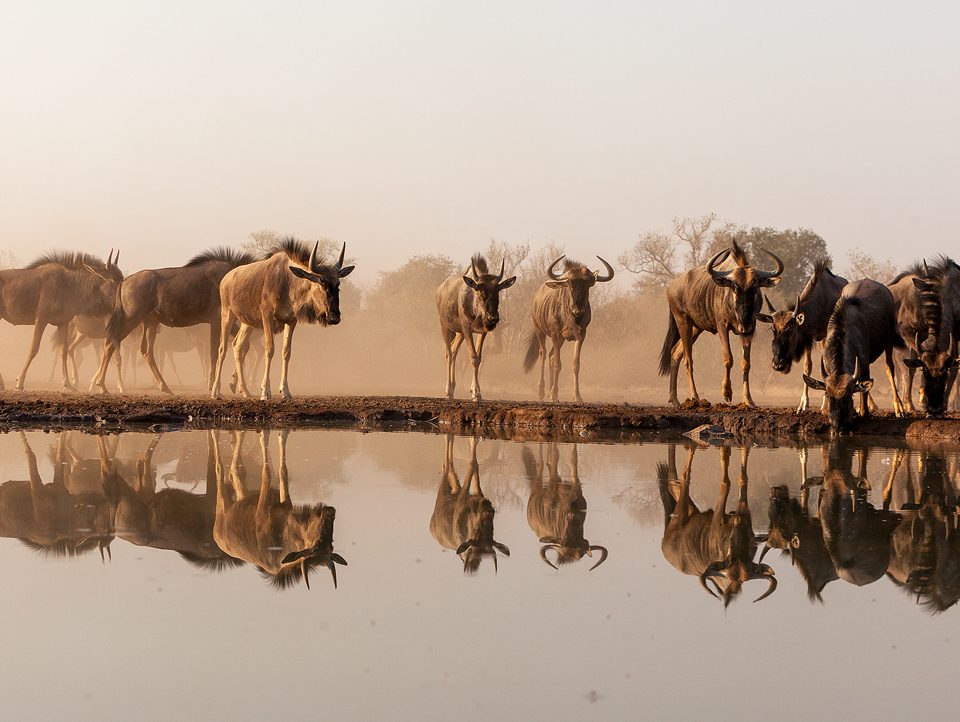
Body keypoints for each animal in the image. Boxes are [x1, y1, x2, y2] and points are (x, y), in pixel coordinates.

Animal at [211, 239, 355, 400]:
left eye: (338, 284)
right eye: (322, 282)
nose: (334, 317)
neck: (288, 282)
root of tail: (225, 279)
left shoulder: (291, 321)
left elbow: (286, 352)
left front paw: (285, 391)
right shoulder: (267, 316)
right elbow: (270, 350)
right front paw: (265, 391)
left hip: (247, 323)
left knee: (238, 346)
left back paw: (245, 391)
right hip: (227, 315)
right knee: (222, 349)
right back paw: (216, 391)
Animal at [436, 254, 516, 402]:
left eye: (498, 290)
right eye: (480, 291)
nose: (493, 318)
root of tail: (439, 291)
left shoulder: (481, 331)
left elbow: (478, 358)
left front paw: (475, 392)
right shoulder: (467, 328)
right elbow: (473, 357)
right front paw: (475, 393)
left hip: (459, 333)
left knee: (454, 351)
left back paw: (453, 388)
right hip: (445, 326)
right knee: (448, 353)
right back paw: (448, 391)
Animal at [659, 240, 783, 407]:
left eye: (755, 285)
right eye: (735, 286)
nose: (744, 315)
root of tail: (671, 287)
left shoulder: (749, 329)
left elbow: (746, 363)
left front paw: (748, 399)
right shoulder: (722, 326)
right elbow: (728, 358)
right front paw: (726, 393)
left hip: (696, 328)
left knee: (675, 353)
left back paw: (675, 400)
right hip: (683, 321)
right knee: (688, 359)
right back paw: (695, 397)